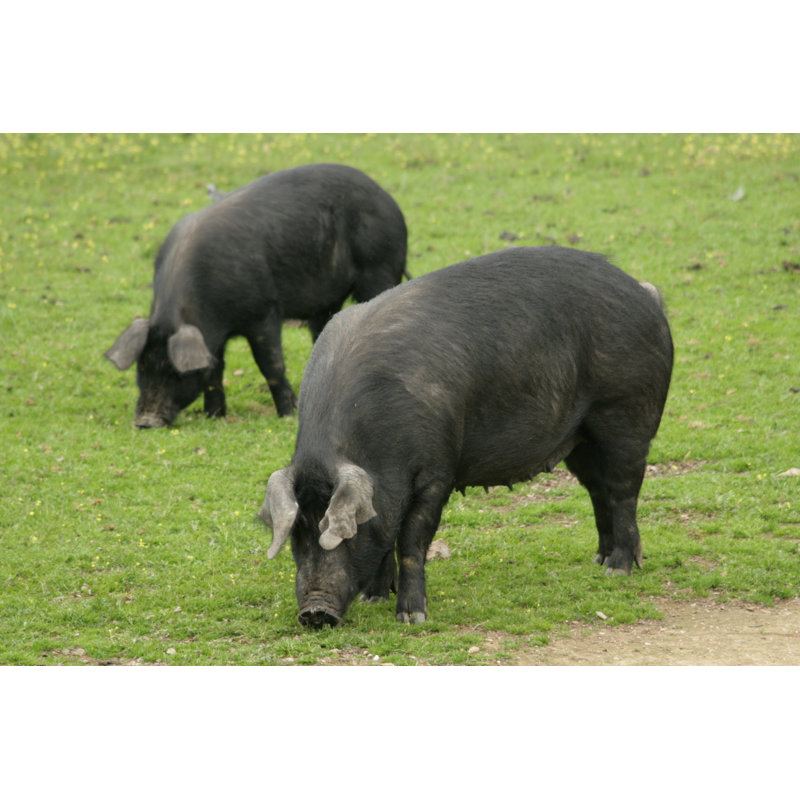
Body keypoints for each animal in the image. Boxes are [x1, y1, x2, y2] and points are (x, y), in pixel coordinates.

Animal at [105, 163, 408, 427]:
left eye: (175, 372)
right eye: (142, 367)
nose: (145, 422)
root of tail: (389, 200)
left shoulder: (264, 313)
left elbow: (271, 364)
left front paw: (288, 414)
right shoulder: (212, 336)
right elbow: (215, 370)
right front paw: (214, 416)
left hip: (379, 267)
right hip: (327, 300)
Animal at [258, 246, 674, 628]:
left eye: (344, 530)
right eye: (298, 531)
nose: (315, 611)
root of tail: (646, 293)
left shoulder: (437, 470)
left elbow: (411, 539)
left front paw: (412, 618)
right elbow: (388, 534)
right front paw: (373, 599)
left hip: (626, 413)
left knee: (623, 491)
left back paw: (619, 569)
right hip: (580, 437)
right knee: (598, 490)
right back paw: (599, 560)